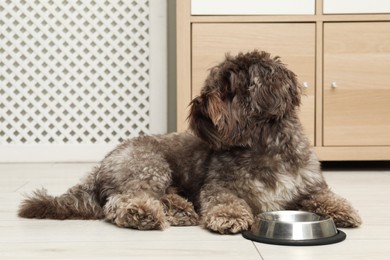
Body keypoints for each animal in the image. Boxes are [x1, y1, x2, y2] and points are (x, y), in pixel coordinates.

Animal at [17, 50, 360, 234]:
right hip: (149, 165)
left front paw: (343, 211)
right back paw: (144, 214)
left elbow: (326, 197)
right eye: (212, 84)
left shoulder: (310, 186)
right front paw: (230, 217)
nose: (199, 101)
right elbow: (226, 201)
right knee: (120, 202)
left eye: (229, 88)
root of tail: (101, 165)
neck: (263, 147)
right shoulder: (220, 187)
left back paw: (179, 209)